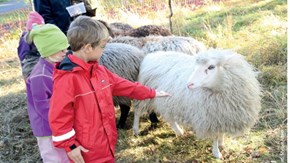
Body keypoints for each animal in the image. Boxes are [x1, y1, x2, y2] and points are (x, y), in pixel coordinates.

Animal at [134, 48, 262, 158]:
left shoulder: (221, 115)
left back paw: (179, 131)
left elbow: (220, 132)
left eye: (211, 67)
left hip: (168, 100)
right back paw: (137, 129)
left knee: (169, 117)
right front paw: (216, 152)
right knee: (138, 111)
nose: (189, 84)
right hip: (146, 94)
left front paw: (221, 143)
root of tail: (150, 56)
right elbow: (215, 136)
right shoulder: (209, 117)